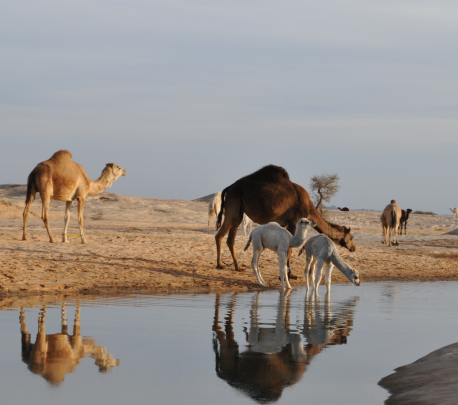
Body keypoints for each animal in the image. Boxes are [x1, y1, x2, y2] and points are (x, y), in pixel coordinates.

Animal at [213, 164, 356, 278]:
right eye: (351, 237)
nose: (353, 248)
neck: (309, 207)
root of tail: (229, 187)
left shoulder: (287, 223)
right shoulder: (294, 222)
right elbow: (290, 250)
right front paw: (290, 274)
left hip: (238, 209)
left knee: (231, 238)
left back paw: (238, 267)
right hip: (234, 202)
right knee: (220, 235)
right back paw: (219, 264)